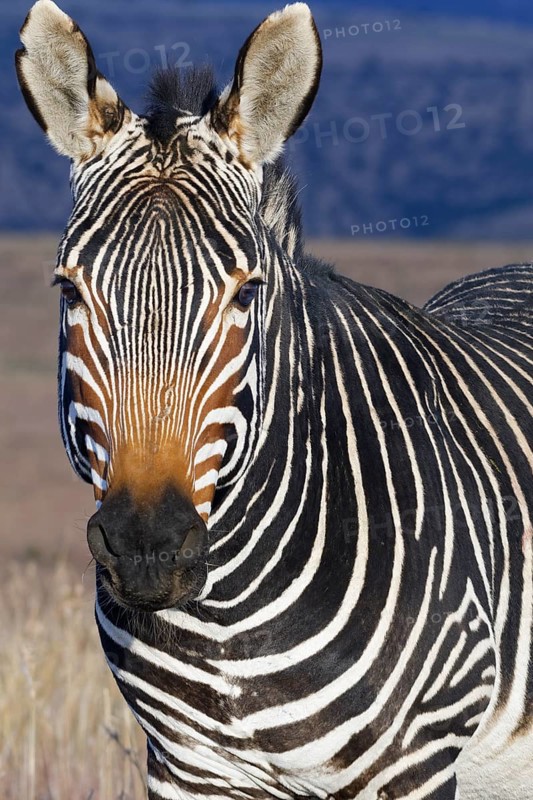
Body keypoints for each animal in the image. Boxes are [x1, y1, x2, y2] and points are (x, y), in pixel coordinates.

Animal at [16, 0, 533, 798]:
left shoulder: (415, 762)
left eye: (245, 293)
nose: (146, 546)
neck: (230, 622)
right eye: (70, 291)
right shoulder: (187, 768)